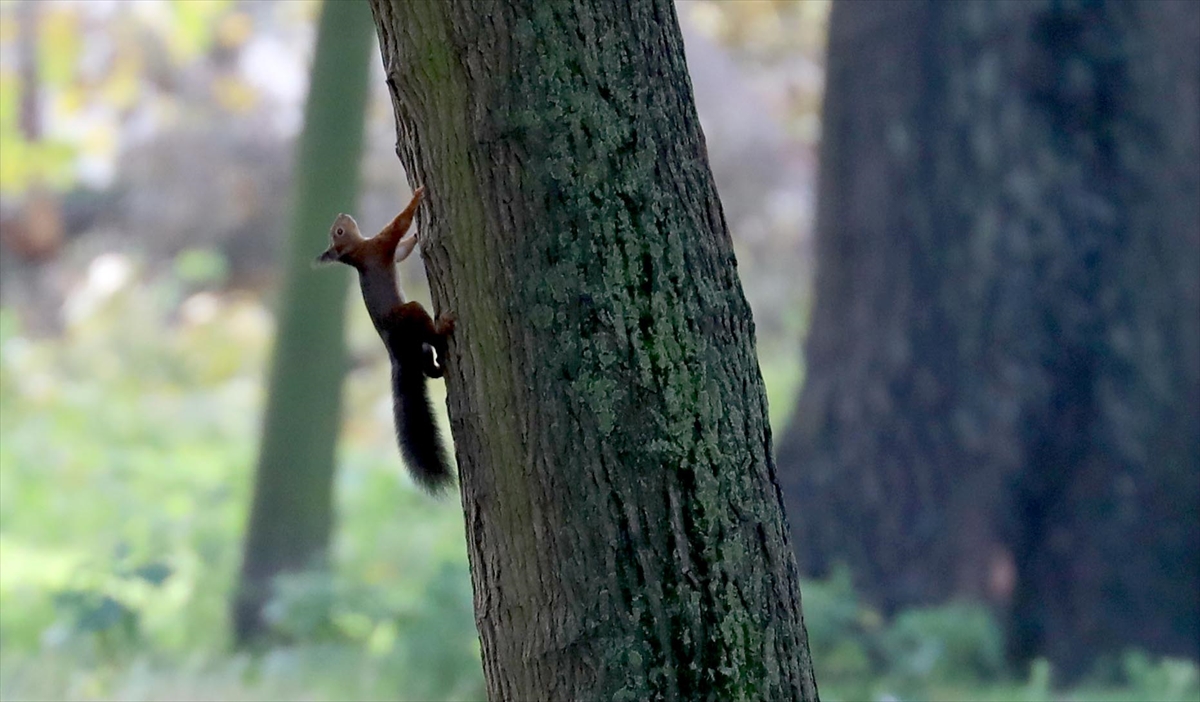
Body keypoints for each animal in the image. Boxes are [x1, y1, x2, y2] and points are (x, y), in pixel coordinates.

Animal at [314, 188, 453, 489]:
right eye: (339, 231)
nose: (342, 214)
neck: (356, 253)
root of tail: (396, 356)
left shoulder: (380, 248)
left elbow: (401, 251)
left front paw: (416, 235)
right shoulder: (378, 246)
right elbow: (397, 227)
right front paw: (416, 198)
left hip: (419, 349)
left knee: (427, 366)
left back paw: (437, 366)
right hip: (410, 313)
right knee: (430, 334)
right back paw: (444, 327)